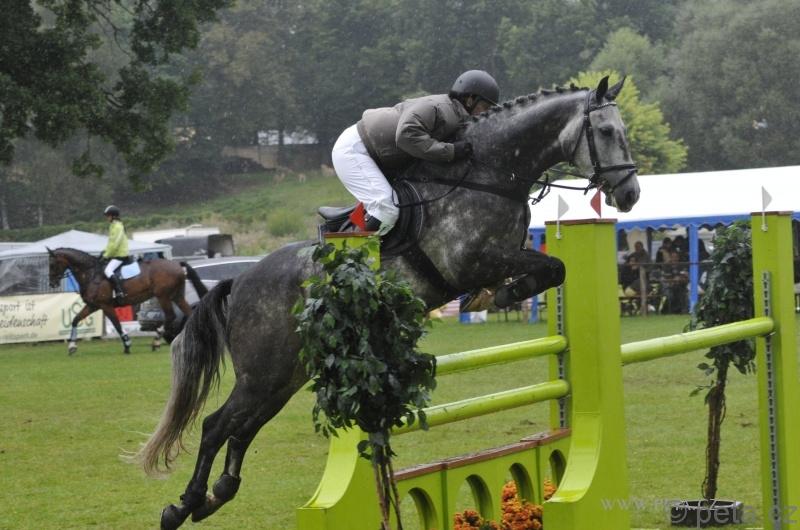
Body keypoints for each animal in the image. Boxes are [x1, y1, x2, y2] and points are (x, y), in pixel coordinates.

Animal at [46, 248, 207, 354]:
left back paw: (156, 342)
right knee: (189, 313)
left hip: (163, 296)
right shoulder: (93, 306)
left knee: (170, 316)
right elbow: (75, 320)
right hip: (176, 296)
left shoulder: (105, 306)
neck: (91, 274)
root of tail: (177, 265)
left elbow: (117, 325)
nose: (52, 284)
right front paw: (72, 346)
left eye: (52, 265)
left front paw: (127, 344)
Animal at [136, 76, 641, 529]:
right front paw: (504, 294)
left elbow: (554, 269)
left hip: (284, 375)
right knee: (215, 426)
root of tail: (240, 281)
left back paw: (214, 496)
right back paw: (181, 506)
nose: (630, 194)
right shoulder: (476, 259)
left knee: (241, 429)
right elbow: (551, 267)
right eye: (606, 132)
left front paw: (500, 295)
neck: (487, 176)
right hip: (264, 373)